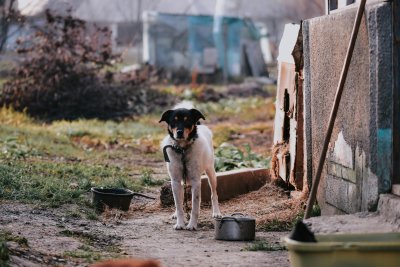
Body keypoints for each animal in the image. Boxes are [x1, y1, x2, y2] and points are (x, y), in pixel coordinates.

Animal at [159, 101, 222, 231]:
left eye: (187, 120)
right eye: (174, 120)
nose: (179, 132)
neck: (182, 150)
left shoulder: (196, 181)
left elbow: (195, 207)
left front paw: (192, 225)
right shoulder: (175, 181)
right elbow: (178, 205)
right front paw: (180, 223)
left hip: (211, 173)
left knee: (214, 194)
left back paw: (217, 212)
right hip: (181, 182)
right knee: (181, 199)